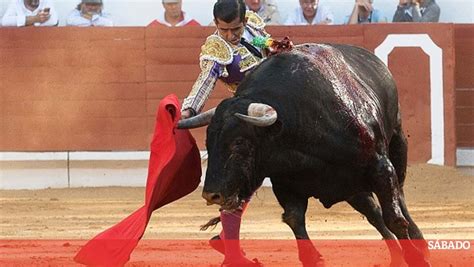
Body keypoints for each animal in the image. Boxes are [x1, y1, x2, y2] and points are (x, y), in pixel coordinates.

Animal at [178, 44, 430, 267]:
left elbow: (395, 217)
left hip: (397, 141)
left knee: (399, 197)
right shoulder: (286, 183)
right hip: (352, 187)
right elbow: (294, 219)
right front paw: (313, 259)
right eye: (208, 142)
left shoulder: (379, 168)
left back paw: (419, 242)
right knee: (374, 212)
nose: (212, 194)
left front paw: (416, 258)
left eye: (239, 142)